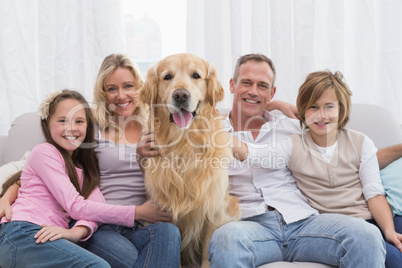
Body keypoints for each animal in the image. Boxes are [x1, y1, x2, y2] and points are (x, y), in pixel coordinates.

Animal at [139, 53, 239, 266]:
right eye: (167, 77)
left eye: (196, 75)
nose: (180, 95)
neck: (184, 145)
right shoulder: (164, 212)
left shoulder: (213, 210)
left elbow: (207, 254)